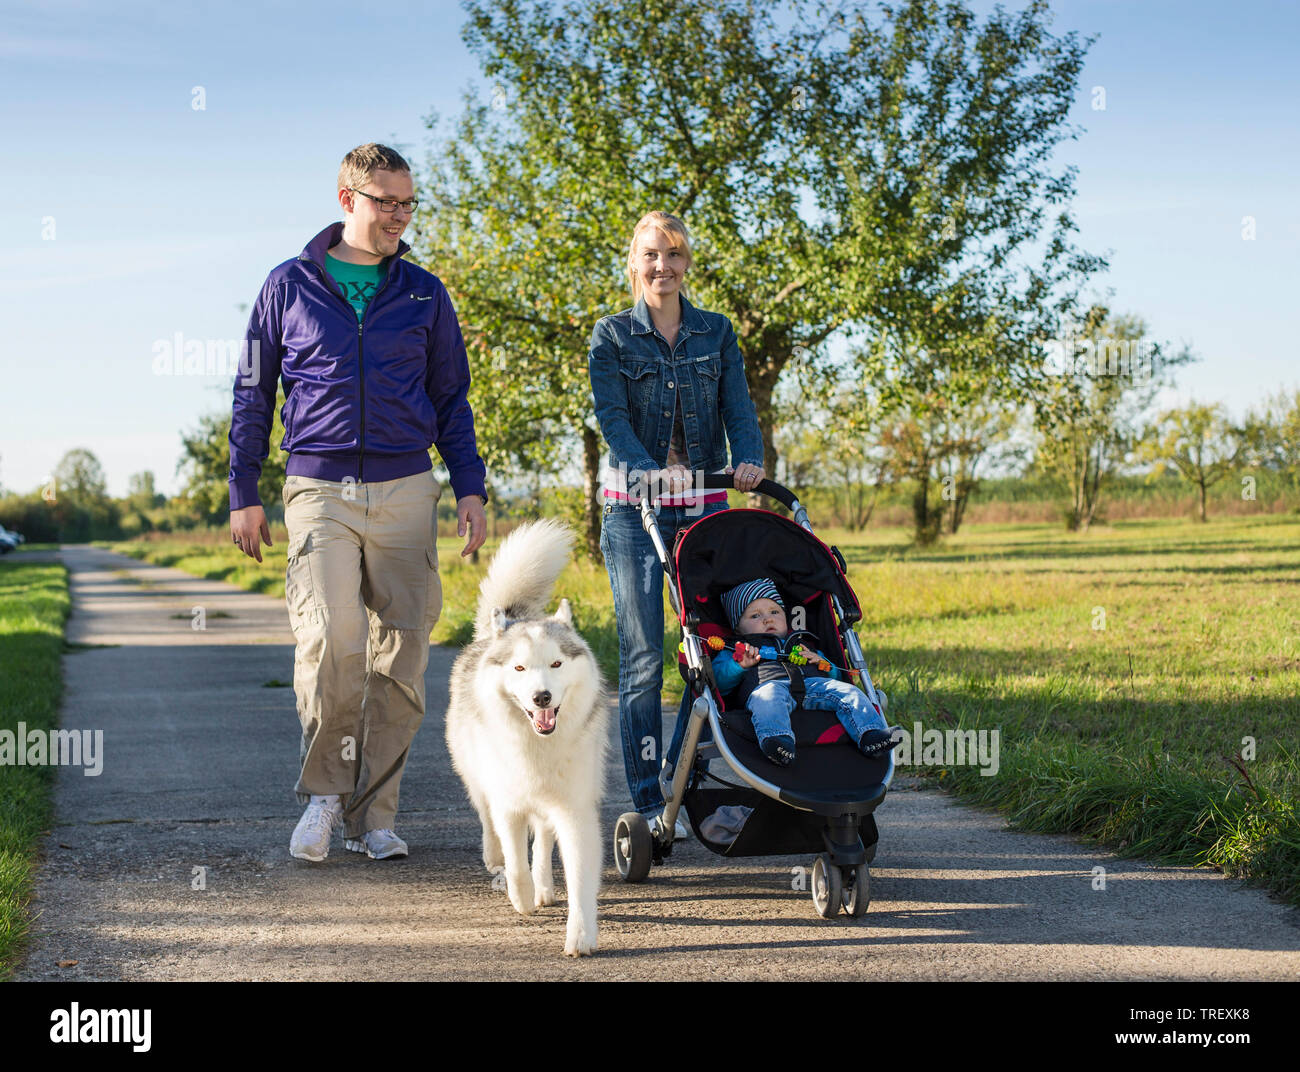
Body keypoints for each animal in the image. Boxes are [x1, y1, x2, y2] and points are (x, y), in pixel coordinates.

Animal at [444, 519, 611, 951]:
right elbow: (515, 857)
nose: (542, 697)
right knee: (488, 820)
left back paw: (545, 886)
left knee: (544, 838)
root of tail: (503, 622)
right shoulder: (509, 804)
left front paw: (580, 935)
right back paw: (497, 861)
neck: (539, 744)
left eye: (556, 663)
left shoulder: (574, 810)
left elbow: (577, 875)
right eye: (519, 668)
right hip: (476, 776)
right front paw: (519, 895)